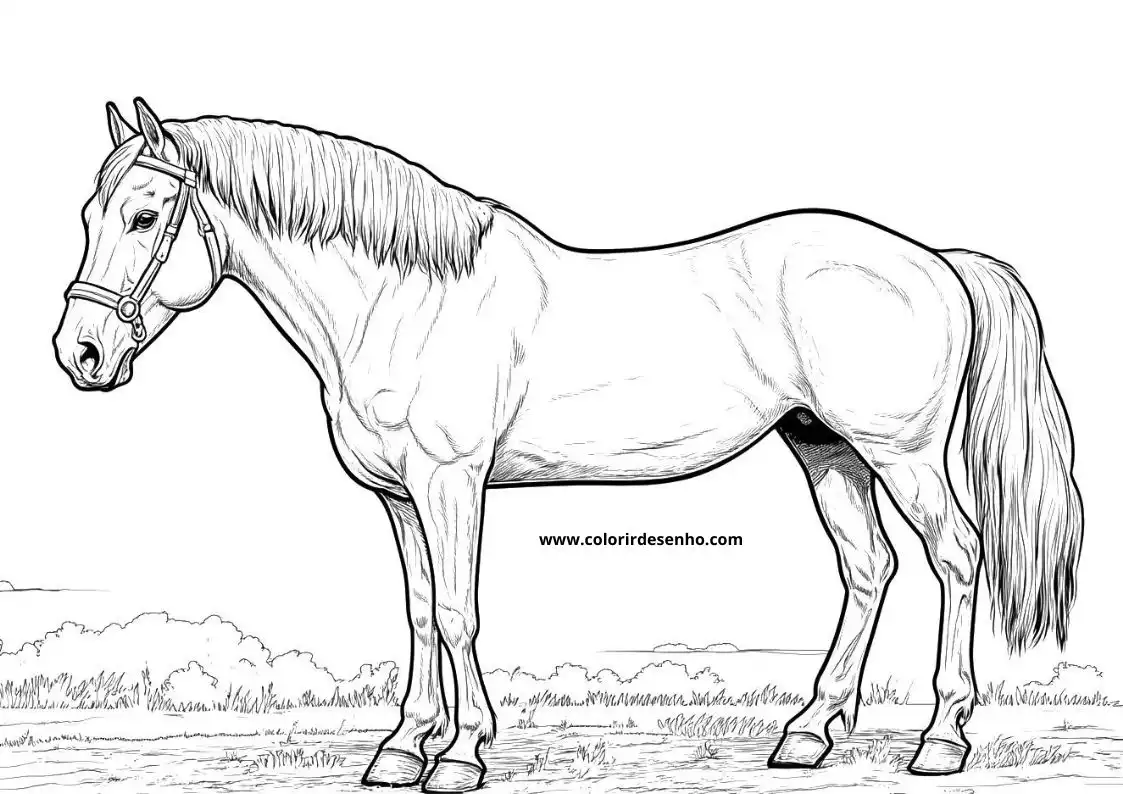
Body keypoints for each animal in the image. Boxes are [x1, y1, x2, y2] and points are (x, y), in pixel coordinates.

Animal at [55, 98, 1083, 792]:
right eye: (89, 213)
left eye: (145, 216)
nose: (81, 354)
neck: (406, 299)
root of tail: (935, 261)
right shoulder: (397, 495)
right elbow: (418, 614)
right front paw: (399, 750)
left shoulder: (451, 482)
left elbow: (459, 614)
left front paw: (460, 756)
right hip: (823, 448)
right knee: (868, 570)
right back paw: (806, 735)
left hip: (899, 454)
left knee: (955, 557)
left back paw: (940, 741)